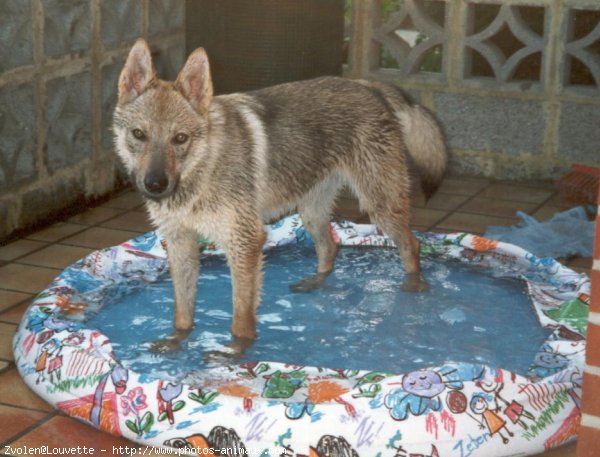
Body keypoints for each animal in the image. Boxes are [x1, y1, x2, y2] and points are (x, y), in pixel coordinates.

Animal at [115, 39, 448, 352]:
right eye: (139, 134)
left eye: (180, 138)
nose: (155, 184)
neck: (199, 173)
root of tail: (368, 85)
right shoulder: (181, 242)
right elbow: (182, 312)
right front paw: (176, 343)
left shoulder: (245, 242)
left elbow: (241, 316)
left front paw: (236, 351)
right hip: (311, 213)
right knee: (330, 248)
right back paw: (314, 283)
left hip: (380, 208)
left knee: (412, 245)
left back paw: (414, 287)